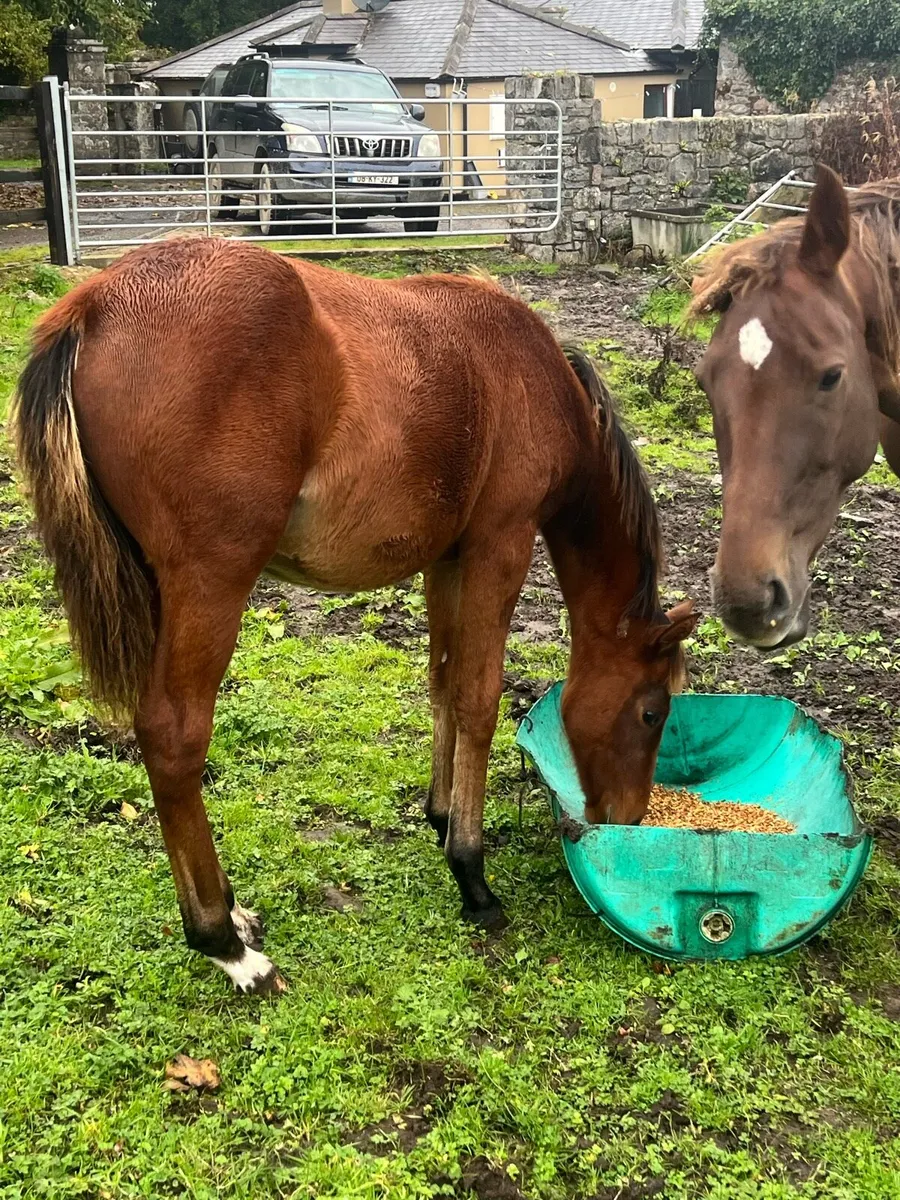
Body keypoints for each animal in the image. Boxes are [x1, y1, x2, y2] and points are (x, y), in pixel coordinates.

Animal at [13, 238, 696, 994]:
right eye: (652, 712)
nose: (631, 818)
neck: (535, 378)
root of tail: (94, 303)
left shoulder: (447, 558)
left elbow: (443, 683)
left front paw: (440, 815)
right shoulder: (502, 544)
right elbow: (479, 697)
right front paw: (472, 874)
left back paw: (231, 911)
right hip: (211, 582)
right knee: (173, 737)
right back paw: (223, 942)